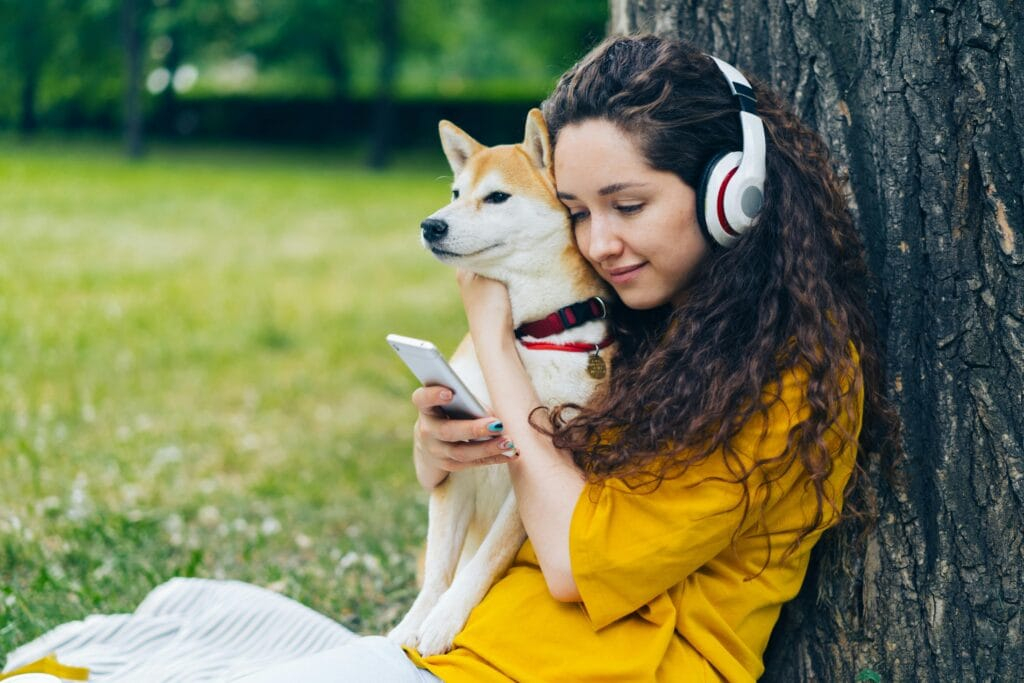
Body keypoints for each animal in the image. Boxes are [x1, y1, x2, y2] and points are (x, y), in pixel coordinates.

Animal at [385, 111, 610, 655]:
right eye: (454, 192)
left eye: (497, 197)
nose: (431, 224)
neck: (524, 335)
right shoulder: (455, 469)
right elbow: (439, 570)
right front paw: (412, 623)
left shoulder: (535, 471)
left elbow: (481, 563)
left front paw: (444, 620)